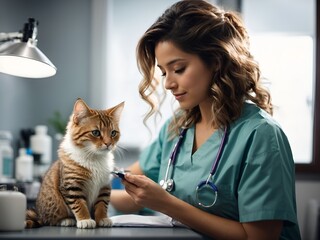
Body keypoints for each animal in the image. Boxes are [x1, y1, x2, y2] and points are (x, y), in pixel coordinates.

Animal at [25, 98, 124, 229]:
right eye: (96, 132)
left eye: (113, 133)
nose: (109, 144)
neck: (94, 157)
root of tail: (38, 214)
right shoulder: (72, 186)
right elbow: (79, 205)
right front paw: (85, 219)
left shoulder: (104, 186)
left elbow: (102, 205)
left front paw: (102, 218)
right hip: (55, 206)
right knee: (51, 220)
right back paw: (66, 220)